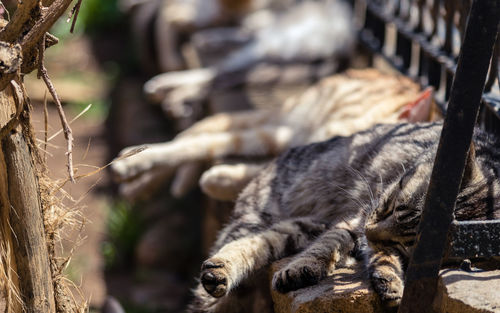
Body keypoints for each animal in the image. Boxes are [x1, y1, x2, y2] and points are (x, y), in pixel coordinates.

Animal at [110, 68, 438, 200]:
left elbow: (258, 173)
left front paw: (219, 181)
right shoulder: (290, 139)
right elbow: (200, 145)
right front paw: (133, 164)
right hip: (284, 119)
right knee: (200, 131)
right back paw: (137, 171)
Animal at [188, 120, 500, 310]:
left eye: (404, 244)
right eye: (391, 204)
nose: (369, 233)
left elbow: (378, 255)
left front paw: (389, 281)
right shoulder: (359, 216)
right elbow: (331, 245)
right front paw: (305, 266)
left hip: (303, 226)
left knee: (266, 241)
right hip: (259, 214)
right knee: (236, 251)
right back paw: (220, 271)